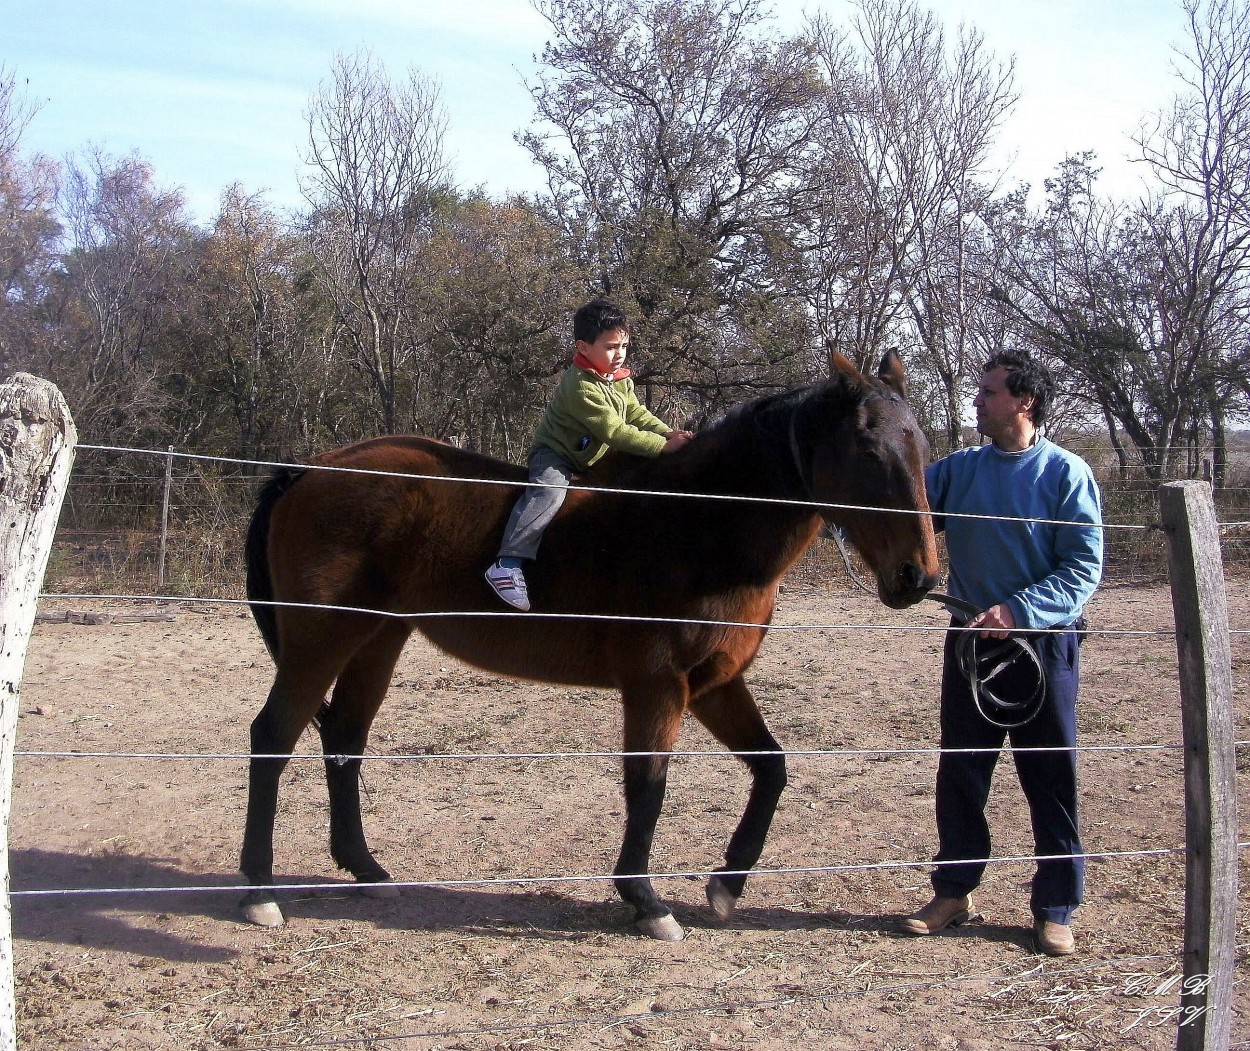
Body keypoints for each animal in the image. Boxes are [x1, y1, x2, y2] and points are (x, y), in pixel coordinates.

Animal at [238, 349, 940, 934]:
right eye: (868, 452)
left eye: (922, 447)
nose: (920, 576)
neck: (700, 523)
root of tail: (313, 469)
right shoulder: (657, 685)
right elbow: (648, 787)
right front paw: (645, 899)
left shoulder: (714, 684)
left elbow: (771, 768)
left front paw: (726, 885)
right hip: (321, 639)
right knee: (272, 738)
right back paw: (259, 892)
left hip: (377, 639)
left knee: (344, 741)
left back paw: (364, 867)